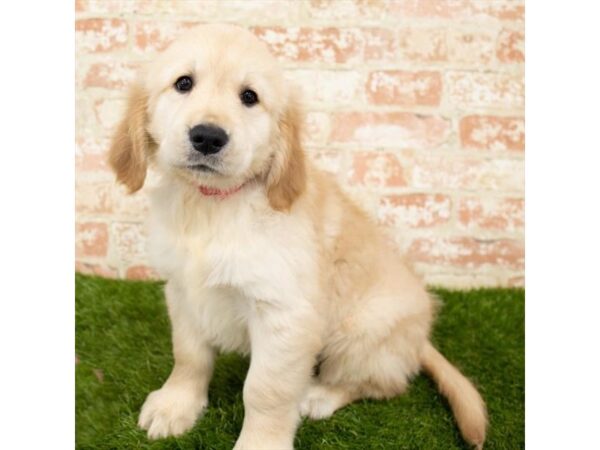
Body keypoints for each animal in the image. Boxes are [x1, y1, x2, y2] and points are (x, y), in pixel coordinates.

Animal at [108, 24, 488, 450]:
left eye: (249, 97)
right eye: (183, 83)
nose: (207, 137)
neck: (213, 205)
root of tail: (421, 339)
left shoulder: (284, 313)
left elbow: (265, 390)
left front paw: (260, 443)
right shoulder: (183, 292)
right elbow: (189, 355)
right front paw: (176, 405)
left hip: (362, 331)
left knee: (382, 383)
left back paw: (320, 395)